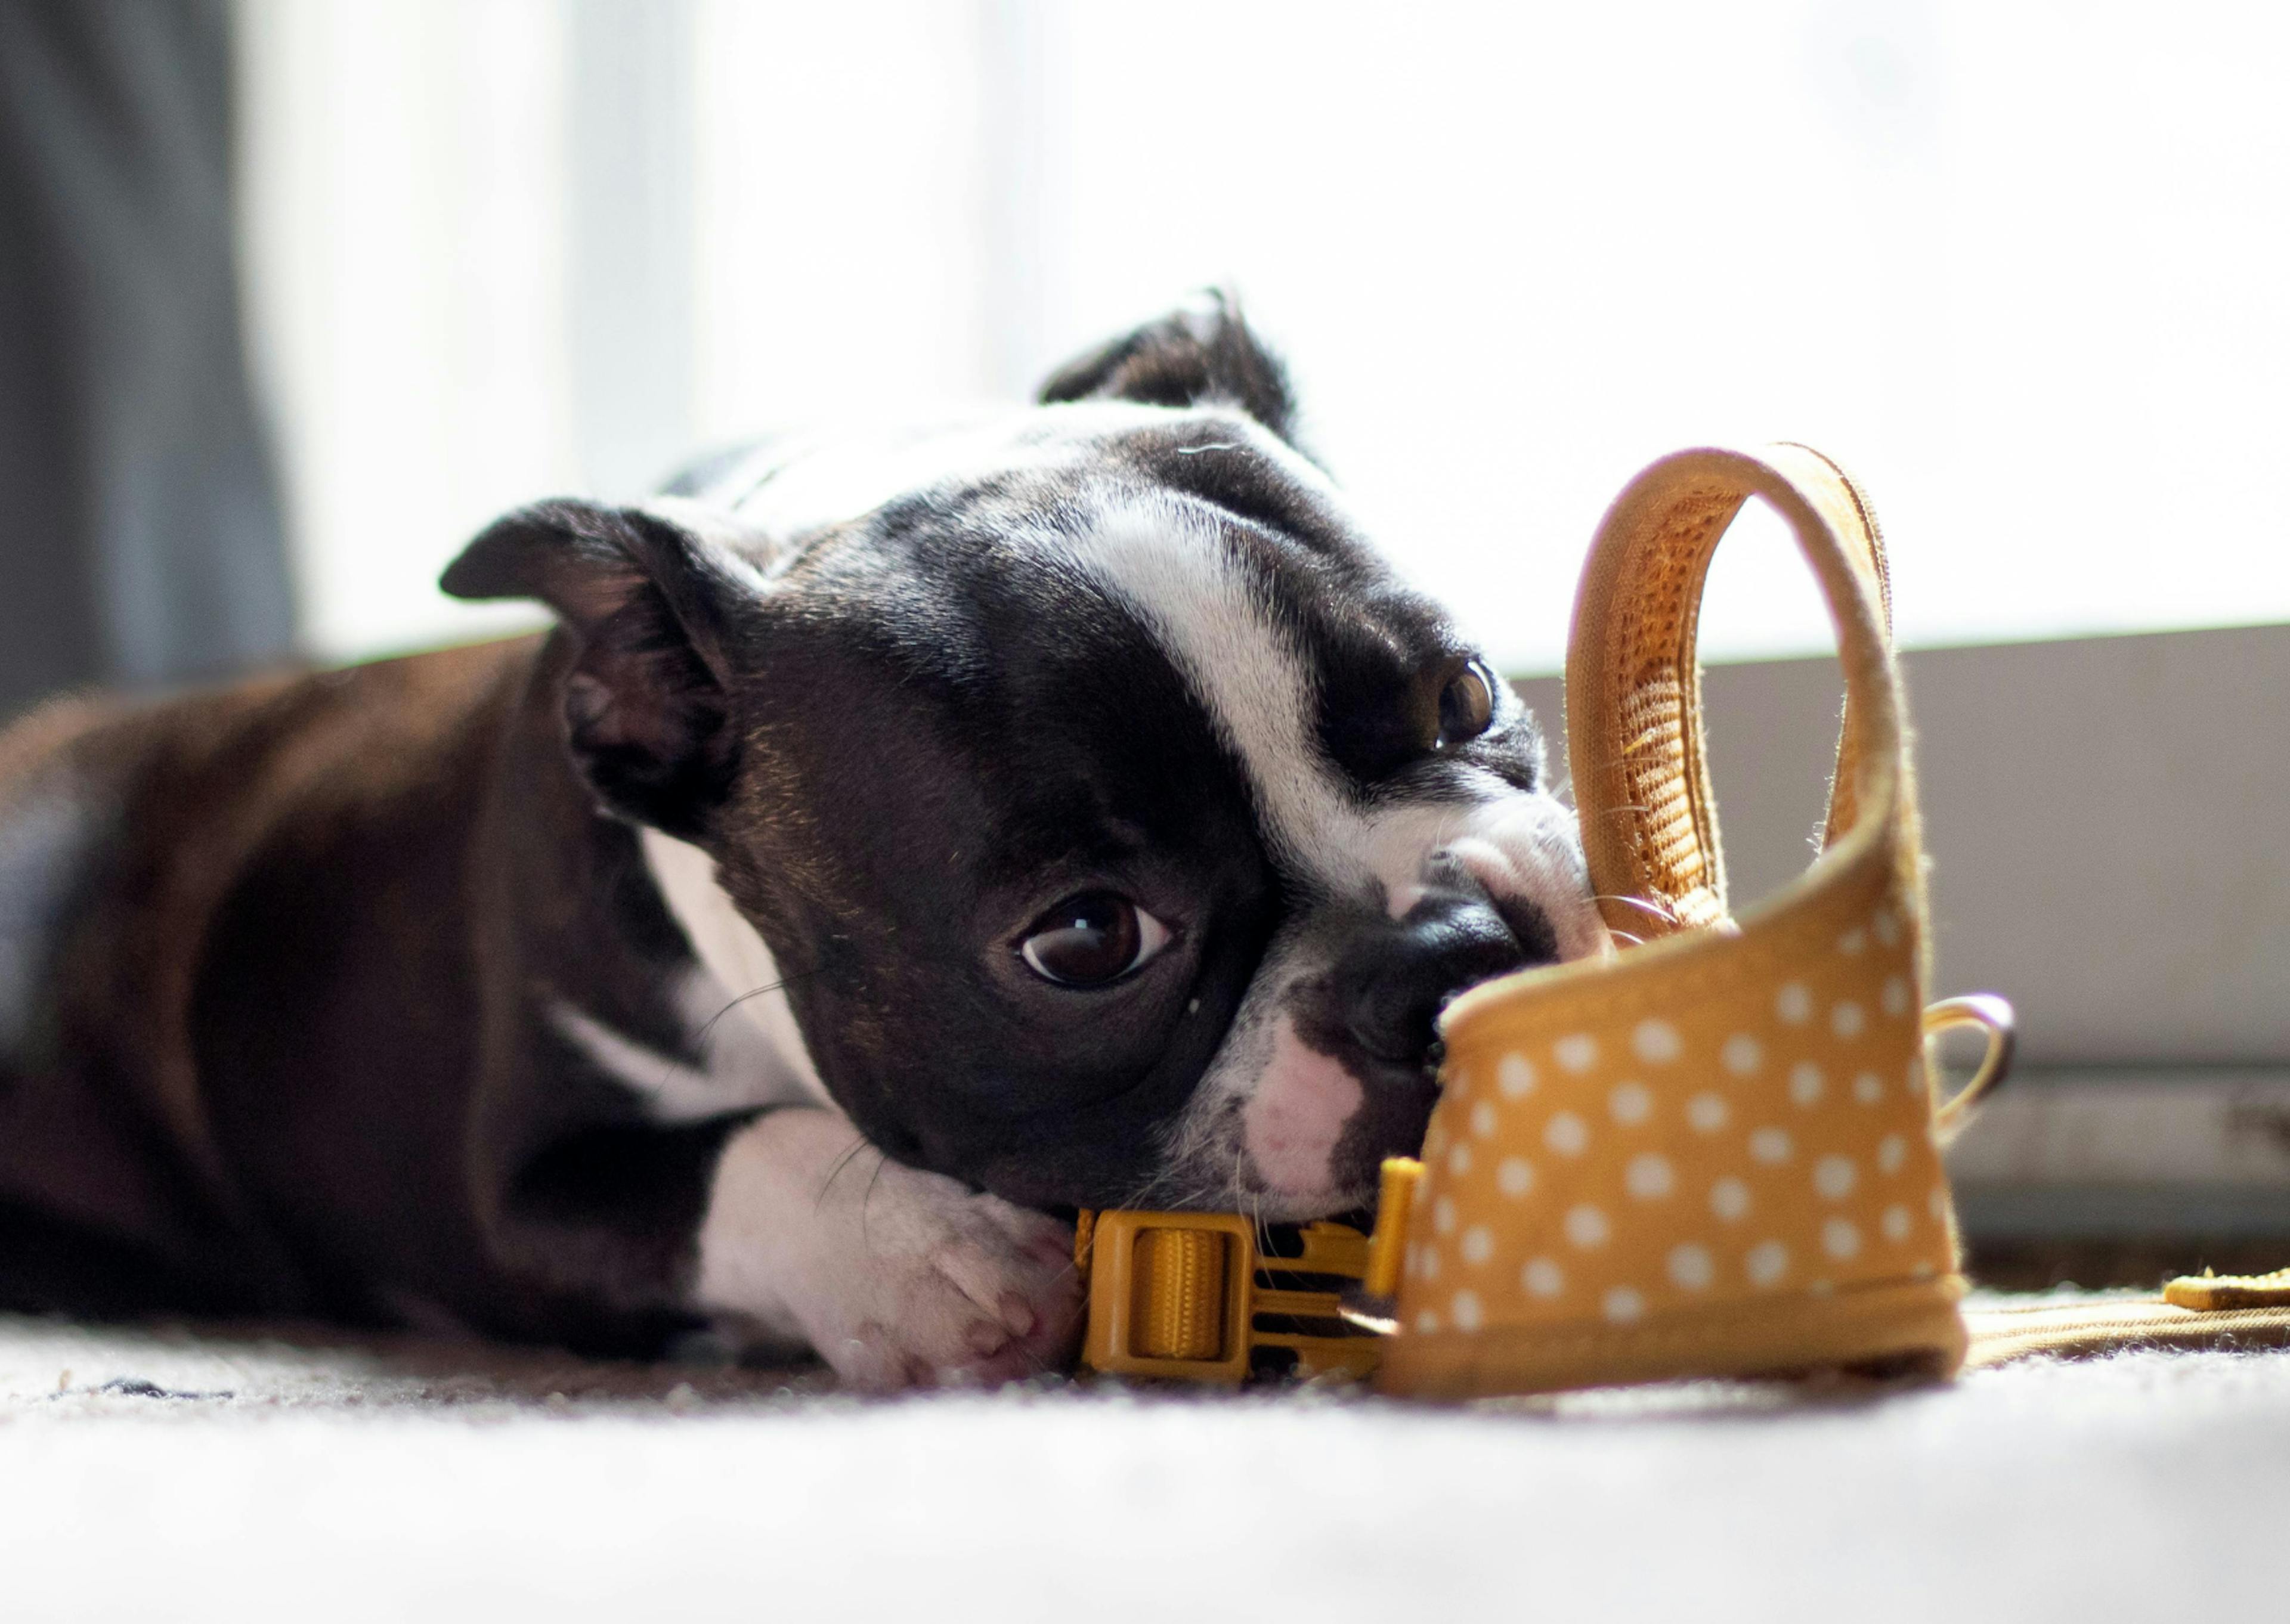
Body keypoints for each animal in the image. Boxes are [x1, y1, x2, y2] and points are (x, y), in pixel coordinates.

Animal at [0, 297, 1612, 1383]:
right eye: (1087, 939)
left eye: (1469, 693)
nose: (1442, 954)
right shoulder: (514, 1194)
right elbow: (736, 1163)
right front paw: (927, 1259)